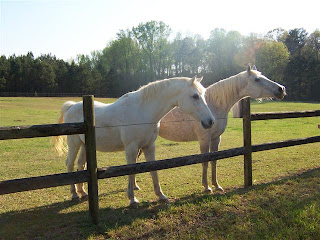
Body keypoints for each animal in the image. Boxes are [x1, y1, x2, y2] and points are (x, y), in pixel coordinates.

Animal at [55, 76, 215, 206]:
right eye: (195, 96)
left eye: (203, 95)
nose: (210, 121)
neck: (143, 111)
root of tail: (71, 106)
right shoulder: (131, 148)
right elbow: (131, 171)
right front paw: (132, 199)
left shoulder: (149, 146)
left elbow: (153, 170)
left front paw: (161, 196)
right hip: (74, 144)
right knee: (69, 164)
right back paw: (74, 194)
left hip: (84, 145)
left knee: (80, 165)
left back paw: (83, 192)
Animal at [158, 65, 288, 193]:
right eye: (257, 79)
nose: (281, 89)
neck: (212, 105)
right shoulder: (204, 139)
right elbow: (205, 162)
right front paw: (206, 187)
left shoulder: (216, 138)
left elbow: (214, 160)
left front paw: (216, 185)